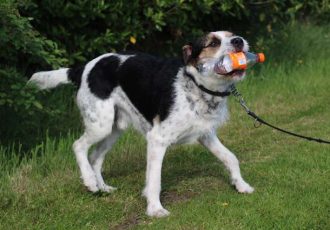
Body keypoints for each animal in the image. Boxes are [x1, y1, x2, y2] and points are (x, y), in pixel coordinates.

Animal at [30, 31, 253, 217]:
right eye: (213, 43)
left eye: (232, 35)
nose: (239, 41)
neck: (198, 87)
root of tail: (82, 68)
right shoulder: (157, 140)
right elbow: (154, 180)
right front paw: (155, 209)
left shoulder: (206, 135)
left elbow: (231, 158)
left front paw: (241, 185)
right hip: (100, 125)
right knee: (78, 146)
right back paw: (90, 182)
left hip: (114, 129)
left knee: (95, 156)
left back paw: (102, 187)